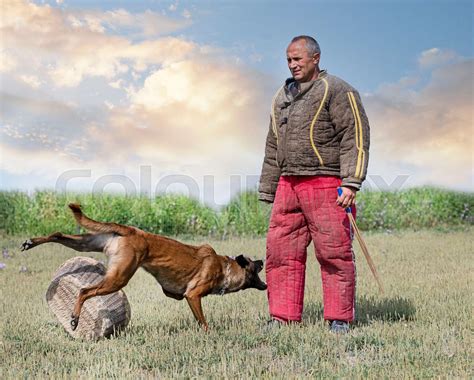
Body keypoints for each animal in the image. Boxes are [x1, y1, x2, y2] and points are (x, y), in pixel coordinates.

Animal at [21, 203, 266, 332]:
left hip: (87, 242)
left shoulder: (175, 293)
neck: (224, 267)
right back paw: (74, 319)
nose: (263, 261)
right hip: (118, 278)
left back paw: (30, 242)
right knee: (83, 291)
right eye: (254, 265)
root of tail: (130, 230)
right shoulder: (193, 295)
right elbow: (203, 321)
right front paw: (208, 333)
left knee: (57, 234)